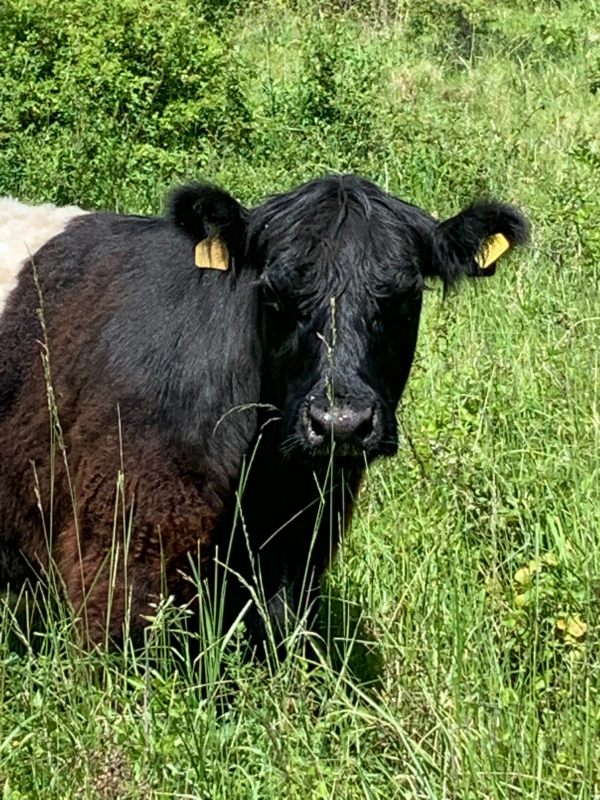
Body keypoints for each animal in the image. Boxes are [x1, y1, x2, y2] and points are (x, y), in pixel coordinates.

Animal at [0, 173, 524, 648]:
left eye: (407, 297)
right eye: (273, 292)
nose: (340, 424)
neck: (264, 480)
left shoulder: (294, 552)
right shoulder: (118, 553)